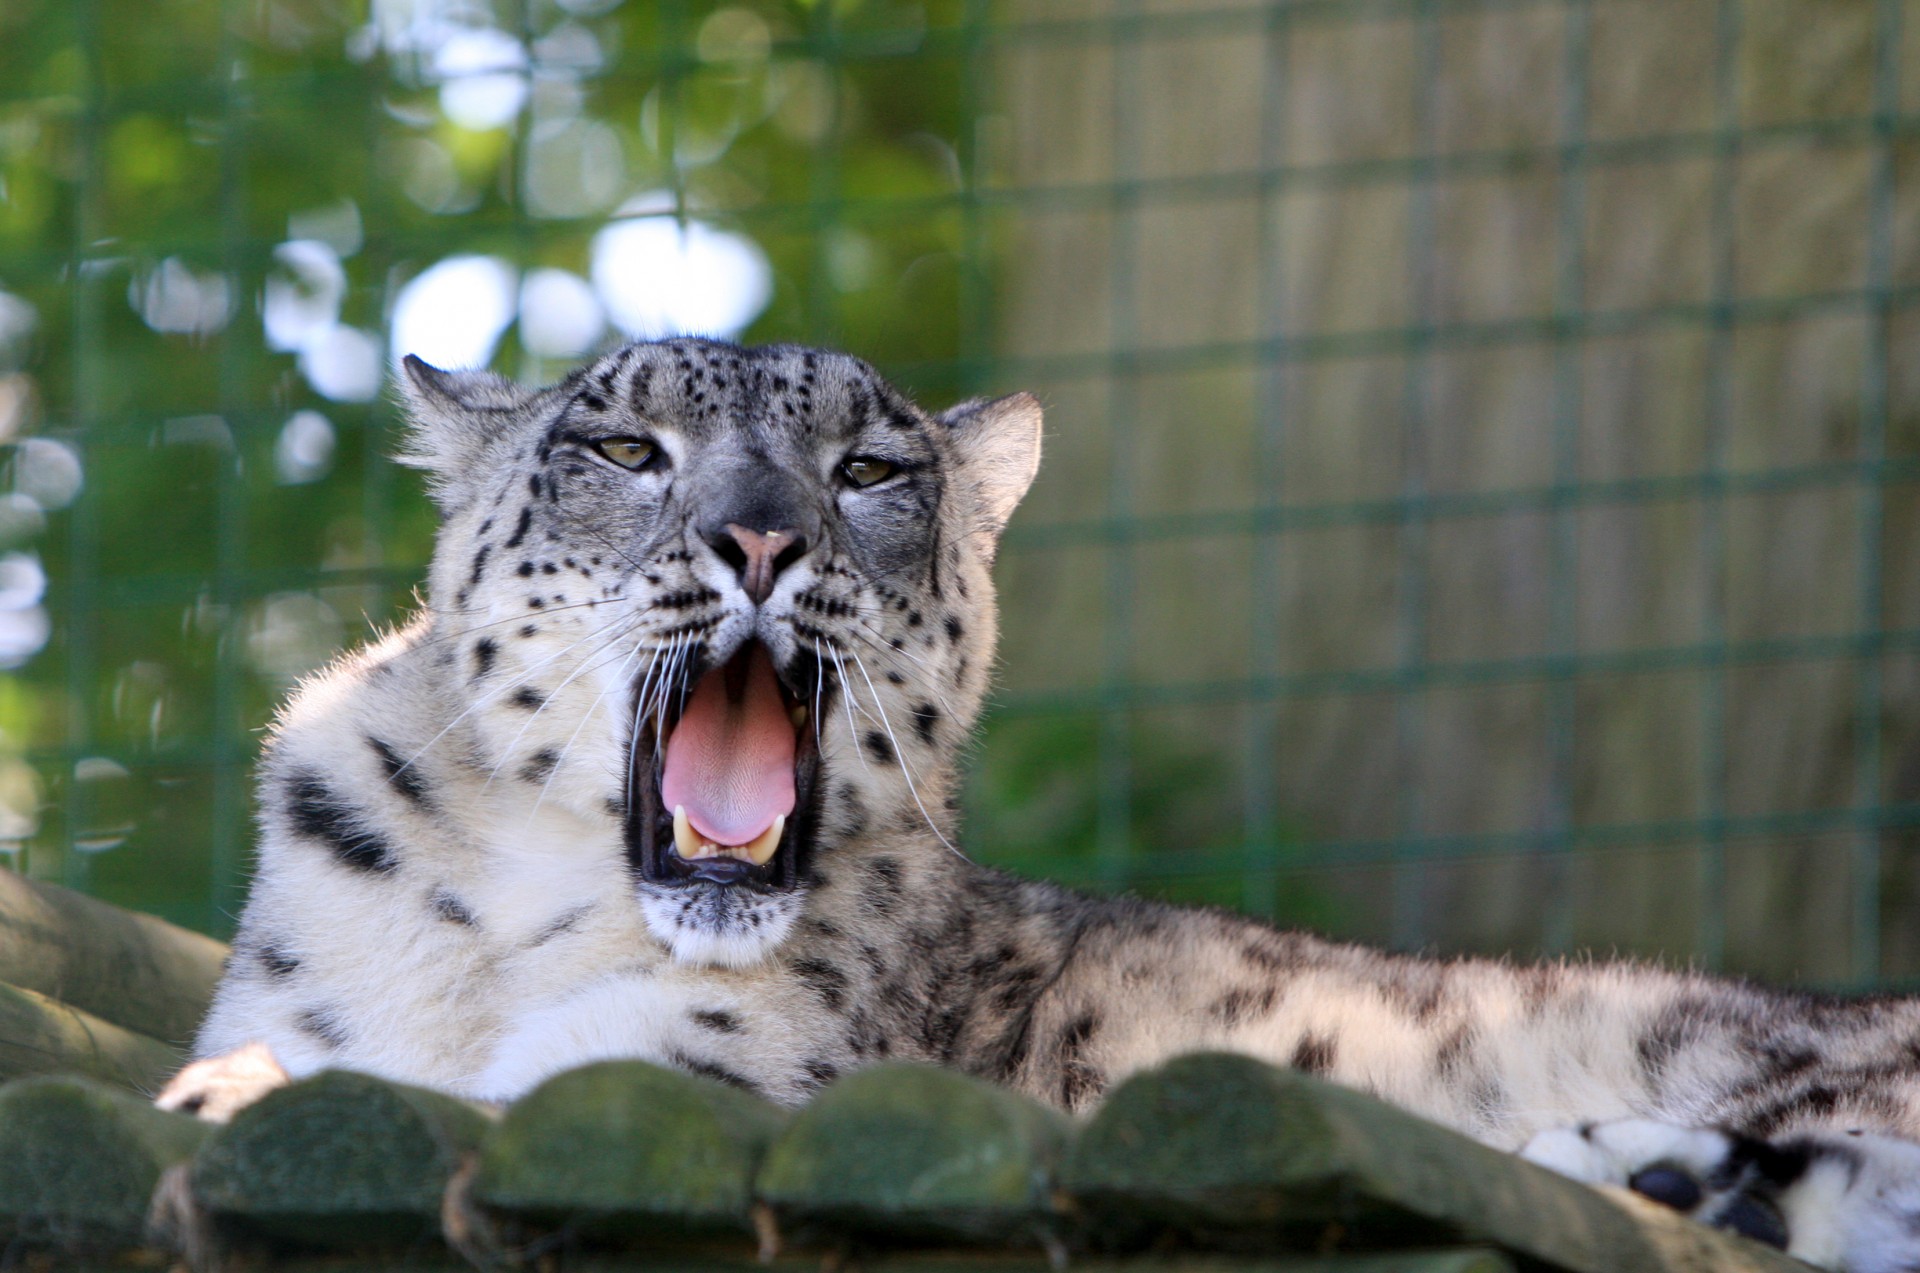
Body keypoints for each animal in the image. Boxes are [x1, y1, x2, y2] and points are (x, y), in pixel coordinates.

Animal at [161, 337, 1920, 1273]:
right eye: (623, 444)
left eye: (872, 469)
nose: (759, 538)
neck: (511, 922)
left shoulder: (697, 1070)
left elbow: (534, 1087)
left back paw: (1677, 1174)